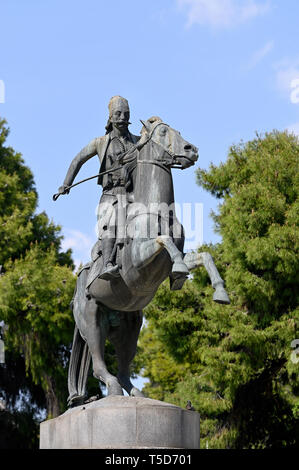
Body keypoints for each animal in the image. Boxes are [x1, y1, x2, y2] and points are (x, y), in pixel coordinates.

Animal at [67, 115, 230, 406]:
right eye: (163, 132)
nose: (191, 150)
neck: (158, 210)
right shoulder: (138, 263)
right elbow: (164, 242)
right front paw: (180, 270)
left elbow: (204, 256)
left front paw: (219, 292)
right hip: (91, 319)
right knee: (99, 364)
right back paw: (112, 388)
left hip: (130, 324)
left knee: (123, 366)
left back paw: (135, 392)